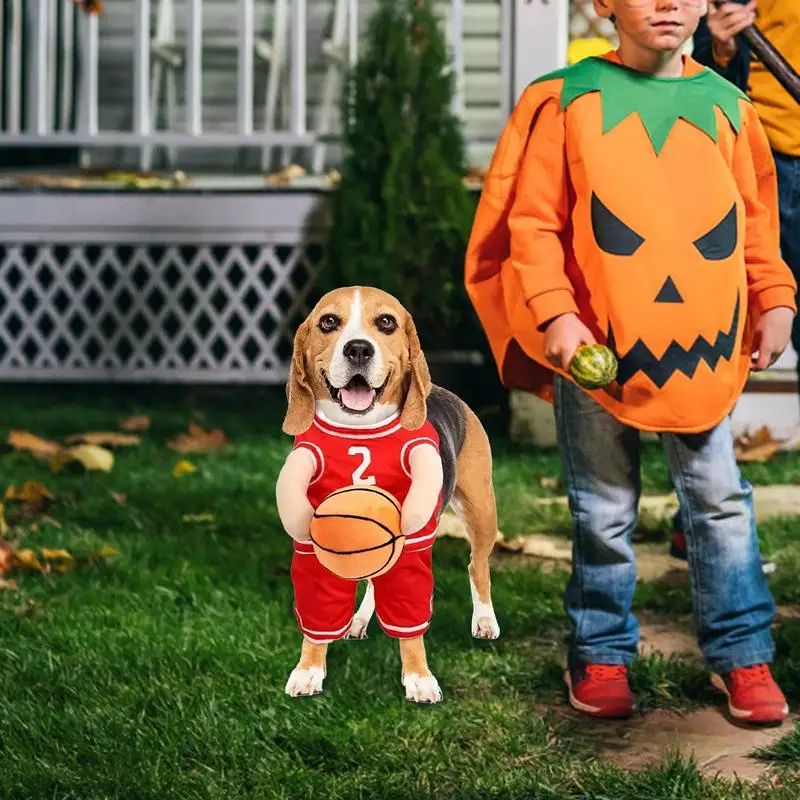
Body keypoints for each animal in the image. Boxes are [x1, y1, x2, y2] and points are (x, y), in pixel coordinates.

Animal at [276, 284, 500, 704]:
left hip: (481, 512)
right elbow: (318, 620)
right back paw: (361, 619)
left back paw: (484, 620)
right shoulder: (314, 551)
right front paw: (309, 670)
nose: (358, 349)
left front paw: (419, 679)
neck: (360, 431)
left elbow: (410, 624)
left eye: (386, 322)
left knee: (477, 567)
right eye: (328, 322)